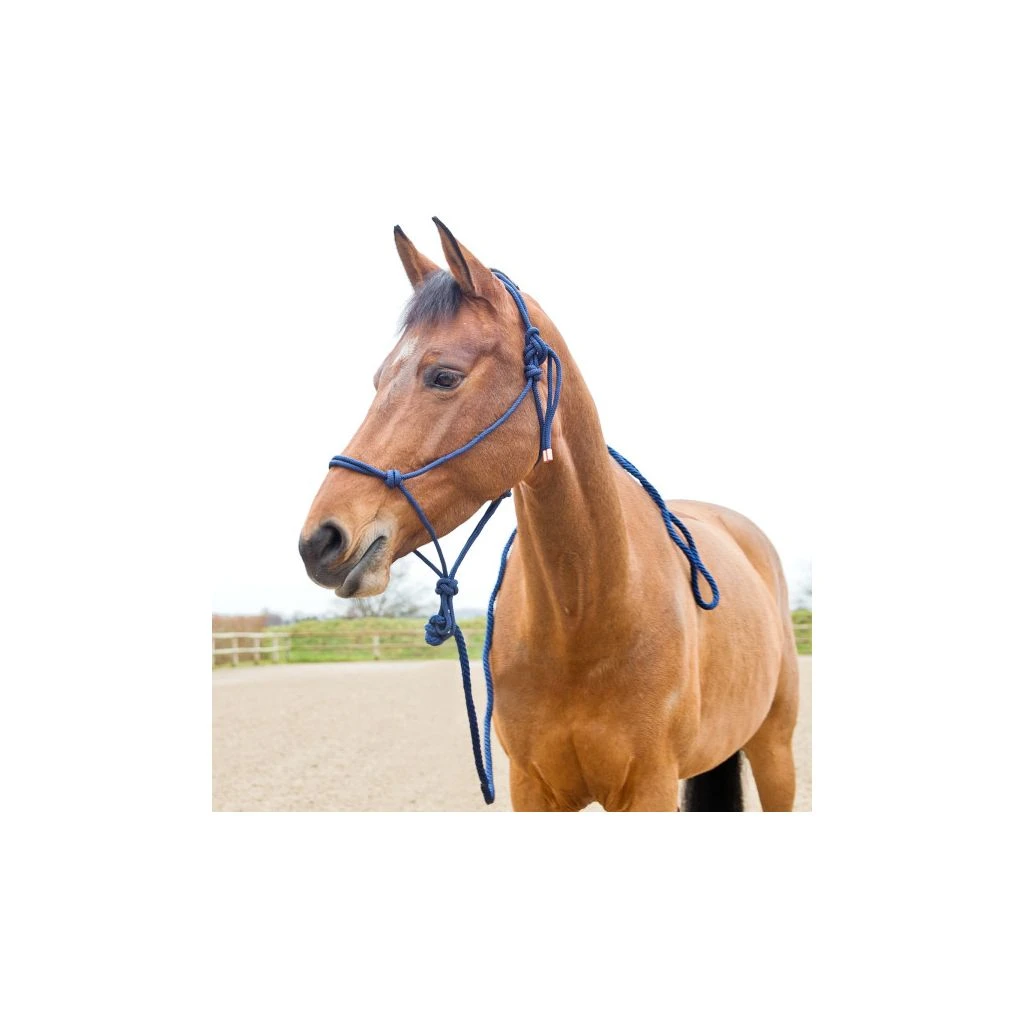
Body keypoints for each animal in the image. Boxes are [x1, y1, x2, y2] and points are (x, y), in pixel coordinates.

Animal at [299, 219, 799, 811]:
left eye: (443, 376)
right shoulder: (533, 788)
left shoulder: (650, 788)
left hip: (775, 755)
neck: (583, 616)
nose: (320, 541)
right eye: (378, 380)